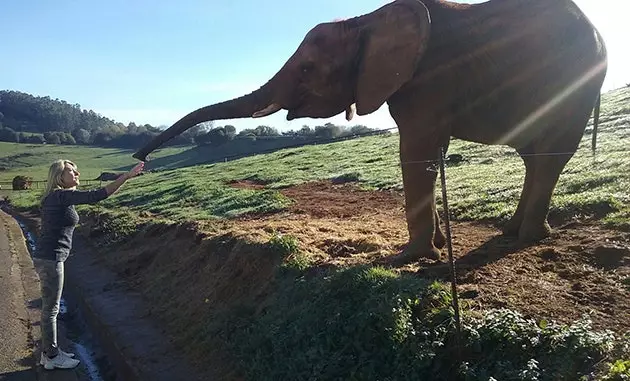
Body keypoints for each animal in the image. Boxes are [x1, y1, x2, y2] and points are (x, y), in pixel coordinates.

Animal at [133, 0, 608, 262]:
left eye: (307, 69)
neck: (367, 20)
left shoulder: (429, 78)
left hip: (577, 85)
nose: (140, 158)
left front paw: (412, 257)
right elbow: (430, 152)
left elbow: (417, 151)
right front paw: (435, 247)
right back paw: (514, 233)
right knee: (534, 156)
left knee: (550, 154)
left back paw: (528, 238)